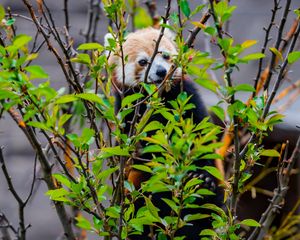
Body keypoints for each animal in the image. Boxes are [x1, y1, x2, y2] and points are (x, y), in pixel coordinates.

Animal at [105, 27, 223, 238]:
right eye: (143, 61)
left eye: (165, 55)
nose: (161, 71)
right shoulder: (126, 113)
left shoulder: (187, 98)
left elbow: (200, 139)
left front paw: (201, 174)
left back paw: (204, 183)